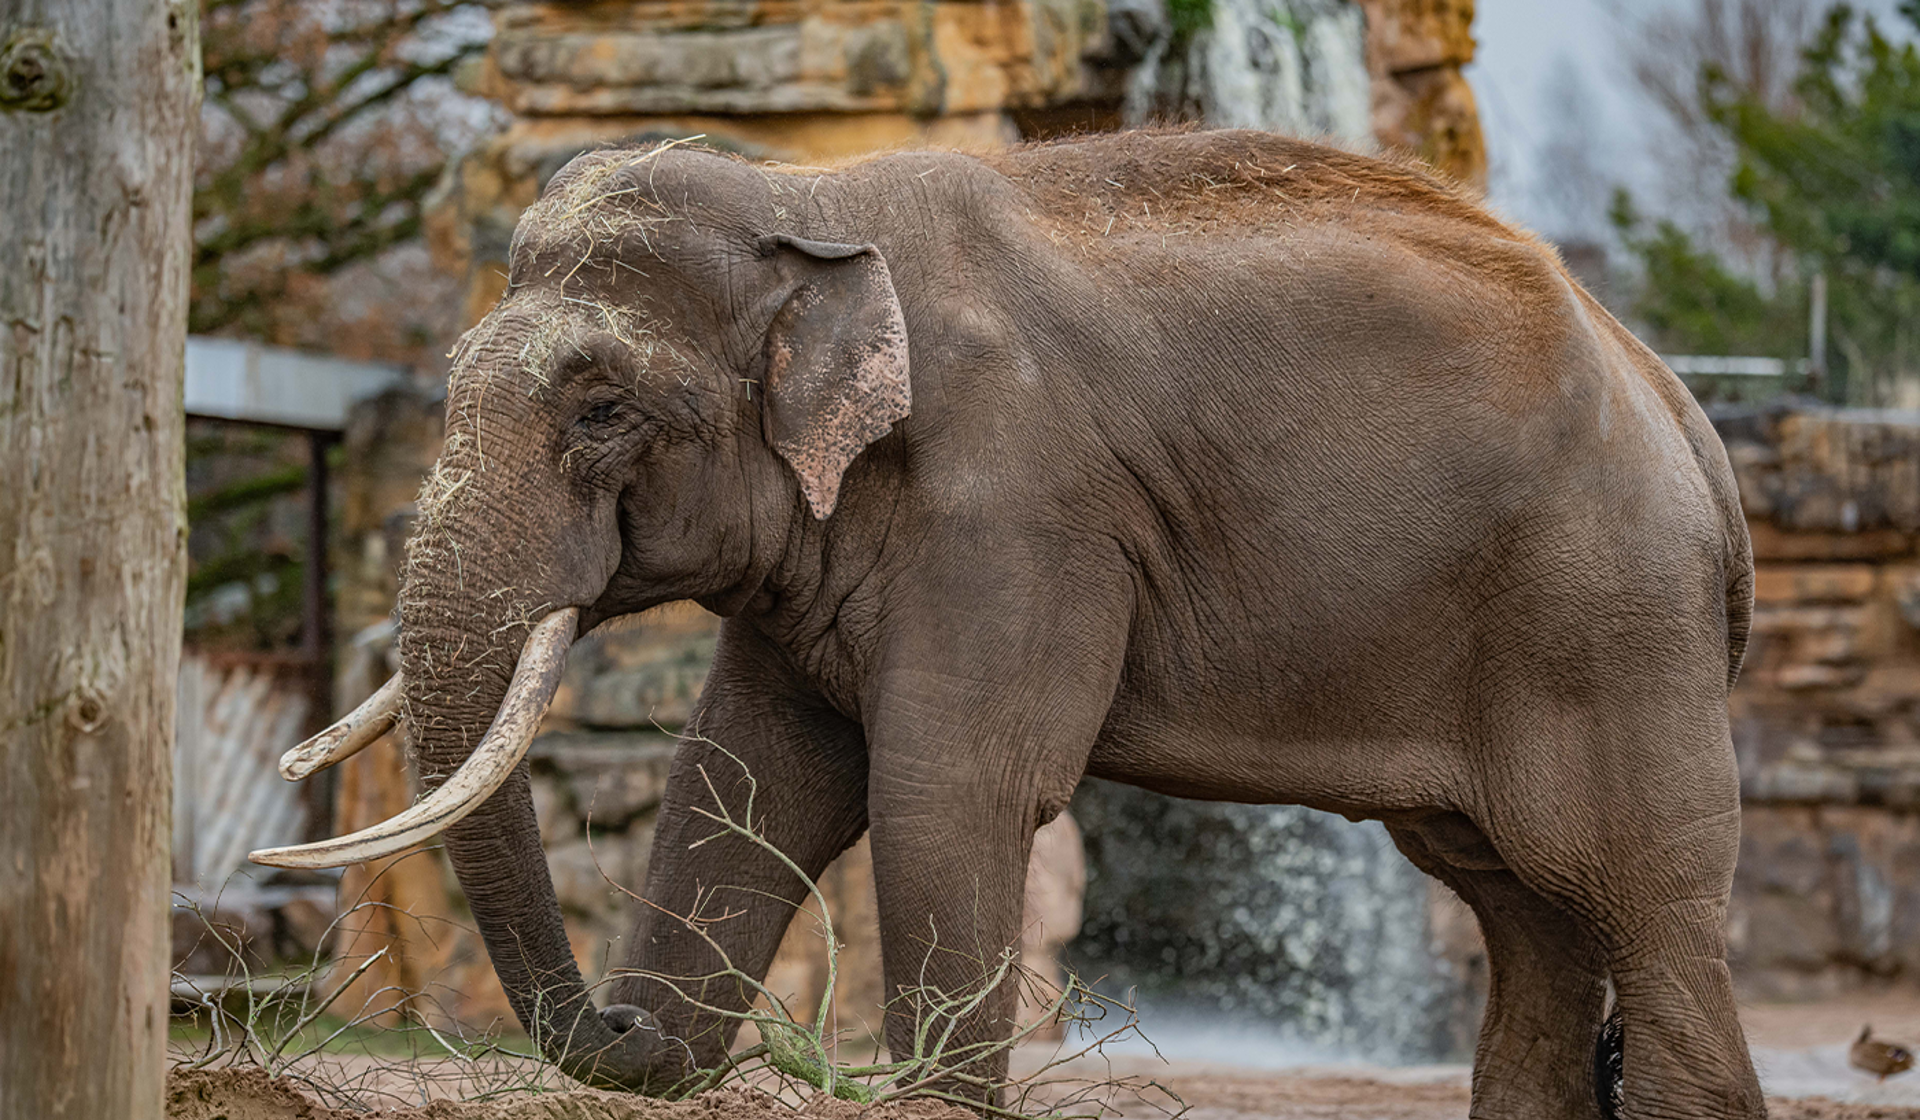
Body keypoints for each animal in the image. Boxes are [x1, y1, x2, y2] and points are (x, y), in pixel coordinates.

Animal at [253, 127, 1764, 1119]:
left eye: (602, 407)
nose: (620, 1017)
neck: (814, 197)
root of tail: (1680, 405)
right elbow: (741, 778)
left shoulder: (1017, 508)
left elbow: (949, 792)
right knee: (1530, 911)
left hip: (1606, 617)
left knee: (1637, 893)